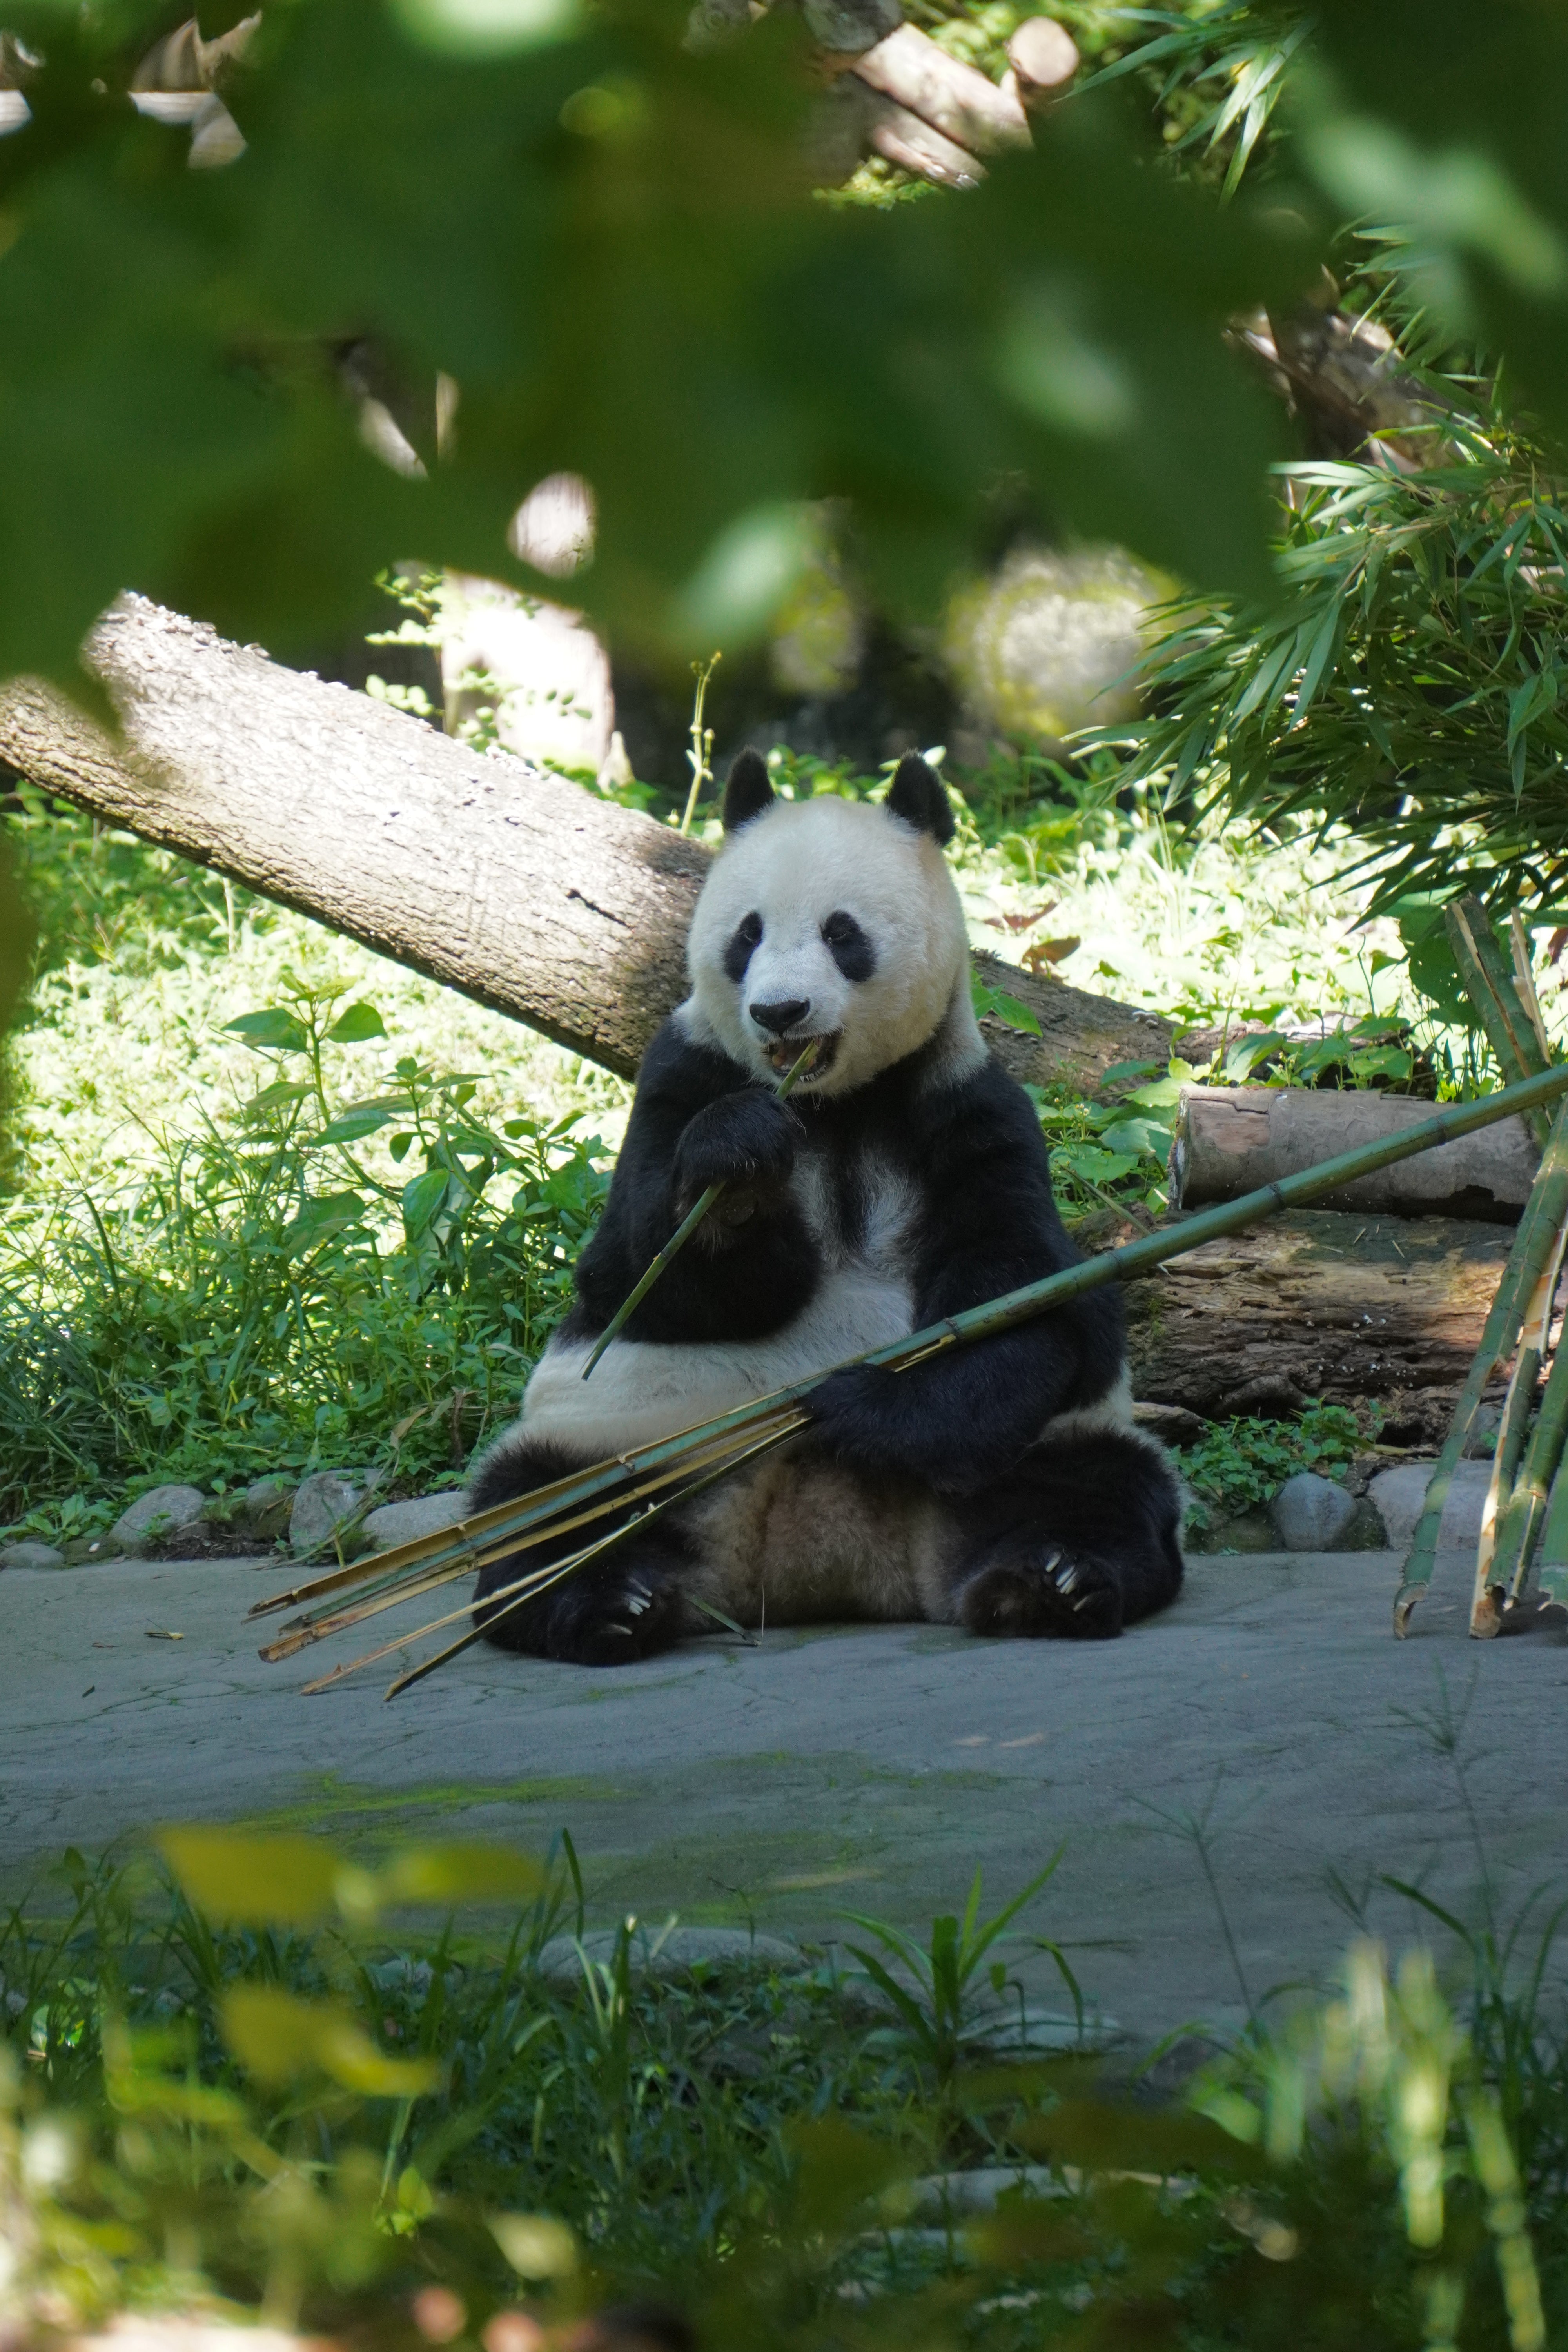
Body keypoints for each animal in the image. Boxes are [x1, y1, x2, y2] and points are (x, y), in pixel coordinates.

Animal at [472, 748, 1185, 1656]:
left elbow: (1030, 1298)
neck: (831, 1105)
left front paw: (854, 1406)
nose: (780, 1011)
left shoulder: (968, 1108)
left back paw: (1051, 1584)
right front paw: (737, 1173)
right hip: (615, 1439)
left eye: (841, 934)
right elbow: (633, 1280)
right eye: (747, 935)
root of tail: (807, 1566)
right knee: (535, 1518)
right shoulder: (682, 1074)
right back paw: (610, 1605)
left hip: (1048, 1451)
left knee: (1106, 1489)